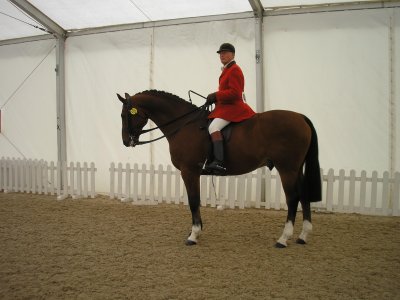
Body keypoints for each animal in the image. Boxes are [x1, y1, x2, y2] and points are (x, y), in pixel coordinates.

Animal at [116, 89, 322, 248]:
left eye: (125, 115)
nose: (126, 141)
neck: (185, 125)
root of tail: (300, 117)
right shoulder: (193, 173)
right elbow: (196, 201)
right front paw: (197, 231)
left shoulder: (189, 171)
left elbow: (193, 201)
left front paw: (193, 235)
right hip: (297, 169)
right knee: (304, 195)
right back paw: (303, 236)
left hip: (287, 169)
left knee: (293, 198)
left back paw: (283, 239)